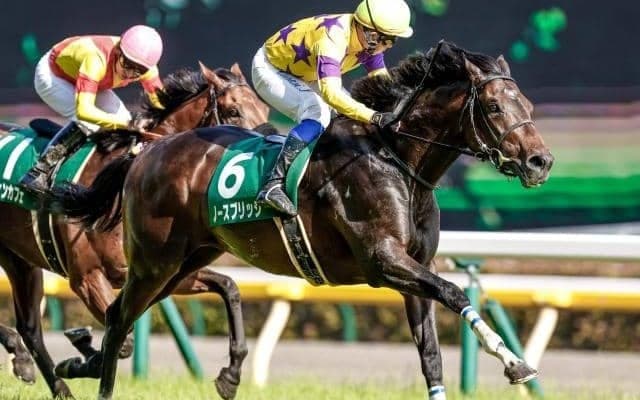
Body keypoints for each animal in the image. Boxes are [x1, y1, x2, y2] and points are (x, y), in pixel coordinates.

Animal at [0, 61, 269, 399]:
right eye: (233, 111)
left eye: (264, 108)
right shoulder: (87, 278)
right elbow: (124, 338)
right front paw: (82, 357)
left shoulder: (157, 272)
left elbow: (229, 286)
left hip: (19, 259)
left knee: (30, 327)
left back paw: (45, 376)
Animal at [46, 41, 554, 400]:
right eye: (494, 107)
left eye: (528, 105)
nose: (540, 161)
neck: (396, 160)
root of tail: (147, 151)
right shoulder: (382, 260)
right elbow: (454, 292)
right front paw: (513, 362)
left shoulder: (414, 269)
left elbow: (431, 352)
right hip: (155, 260)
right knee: (118, 320)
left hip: (183, 263)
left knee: (123, 313)